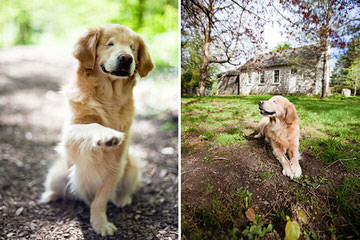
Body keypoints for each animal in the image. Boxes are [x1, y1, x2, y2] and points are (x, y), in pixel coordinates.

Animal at [39, 24, 155, 236]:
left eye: (132, 48)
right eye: (109, 44)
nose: (126, 58)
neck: (108, 96)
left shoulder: (117, 164)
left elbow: (100, 199)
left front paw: (100, 223)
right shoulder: (68, 135)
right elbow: (91, 125)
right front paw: (107, 135)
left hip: (132, 166)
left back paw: (123, 199)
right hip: (58, 173)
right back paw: (50, 196)